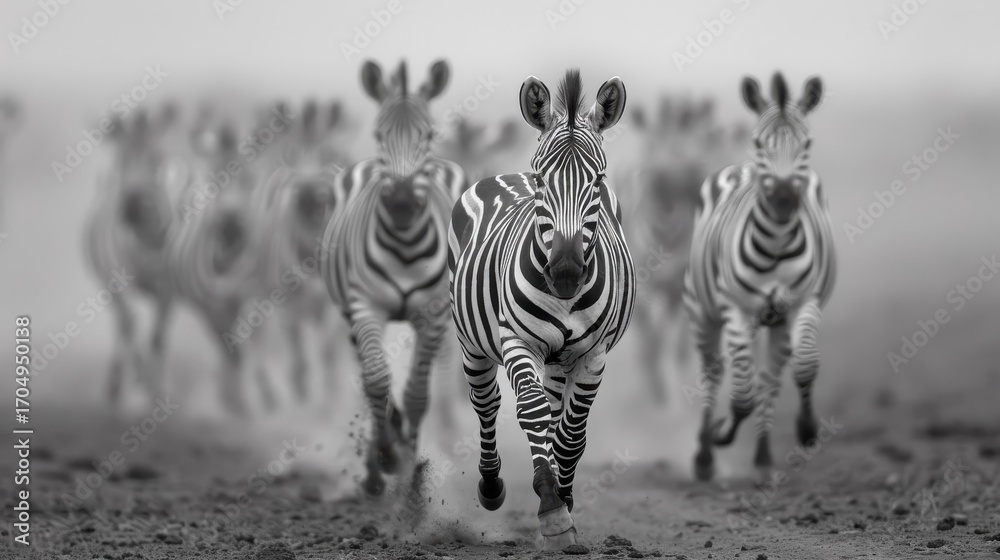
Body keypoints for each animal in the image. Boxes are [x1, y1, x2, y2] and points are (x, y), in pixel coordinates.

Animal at [84, 106, 182, 403]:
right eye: (122, 161)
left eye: (156, 161)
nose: (131, 209)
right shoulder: (118, 281)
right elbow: (131, 326)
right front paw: (145, 383)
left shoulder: (169, 291)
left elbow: (159, 337)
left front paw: (162, 392)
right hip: (107, 282)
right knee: (124, 324)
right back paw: (118, 384)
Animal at [320, 59, 466, 495]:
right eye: (378, 135)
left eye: (429, 135)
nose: (400, 204)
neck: (405, 244)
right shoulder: (366, 306)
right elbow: (377, 382)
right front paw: (384, 458)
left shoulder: (433, 315)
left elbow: (417, 394)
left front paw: (412, 472)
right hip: (349, 313)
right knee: (368, 377)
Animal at [449, 70, 634, 550]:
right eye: (540, 180)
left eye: (597, 180)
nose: (566, 272)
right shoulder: (519, 341)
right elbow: (530, 410)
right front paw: (551, 510)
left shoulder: (593, 354)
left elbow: (570, 433)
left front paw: (563, 501)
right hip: (472, 345)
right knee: (488, 402)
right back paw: (492, 486)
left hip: (557, 357)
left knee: (554, 416)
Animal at [621, 95, 748, 406]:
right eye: (651, 147)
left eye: (683, 150)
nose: (657, 182)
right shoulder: (641, 282)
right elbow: (653, 339)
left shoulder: (683, 284)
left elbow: (675, 342)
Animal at [683, 73, 836, 482]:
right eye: (758, 142)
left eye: (807, 143)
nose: (783, 201)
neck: (777, 243)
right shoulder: (734, 308)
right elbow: (741, 396)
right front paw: (720, 434)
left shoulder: (805, 302)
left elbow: (805, 368)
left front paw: (807, 430)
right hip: (701, 310)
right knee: (714, 371)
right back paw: (704, 455)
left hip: (778, 321)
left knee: (769, 378)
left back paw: (764, 456)